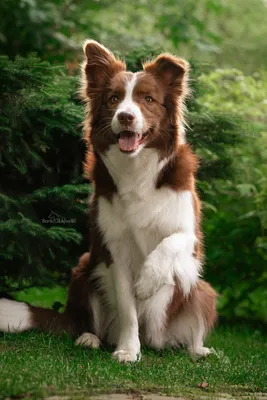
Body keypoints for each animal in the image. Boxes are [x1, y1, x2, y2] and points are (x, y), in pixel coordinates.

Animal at [0, 39, 218, 362]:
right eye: (114, 99)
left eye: (148, 99)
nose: (125, 116)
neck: (137, 168)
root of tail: (154, 339)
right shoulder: (114, 249)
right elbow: (128, 309)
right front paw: (128, 350)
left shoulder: (192, 237)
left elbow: (170, 242)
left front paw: (148, 280)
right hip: (84, 269)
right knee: (87, 324)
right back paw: (90, 338)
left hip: (203, 292)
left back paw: (198, 349)